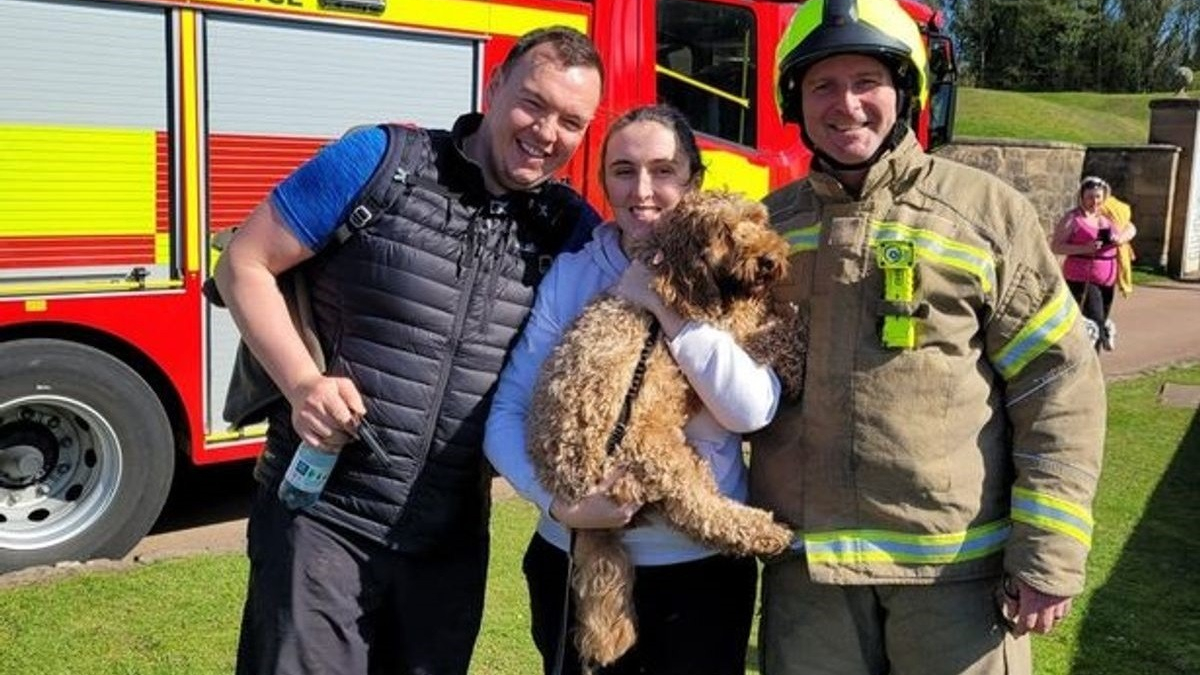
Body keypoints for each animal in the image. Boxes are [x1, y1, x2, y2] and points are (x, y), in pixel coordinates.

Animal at [528, 189, 801, 667]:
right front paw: (789, 334)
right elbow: (759, 325)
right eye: (725, 233)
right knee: (704, 512)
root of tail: (573, 483)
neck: (665, 261)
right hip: (660, 456)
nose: (768, 260)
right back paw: (768, 532)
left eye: (755, 219)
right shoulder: (713, 320)